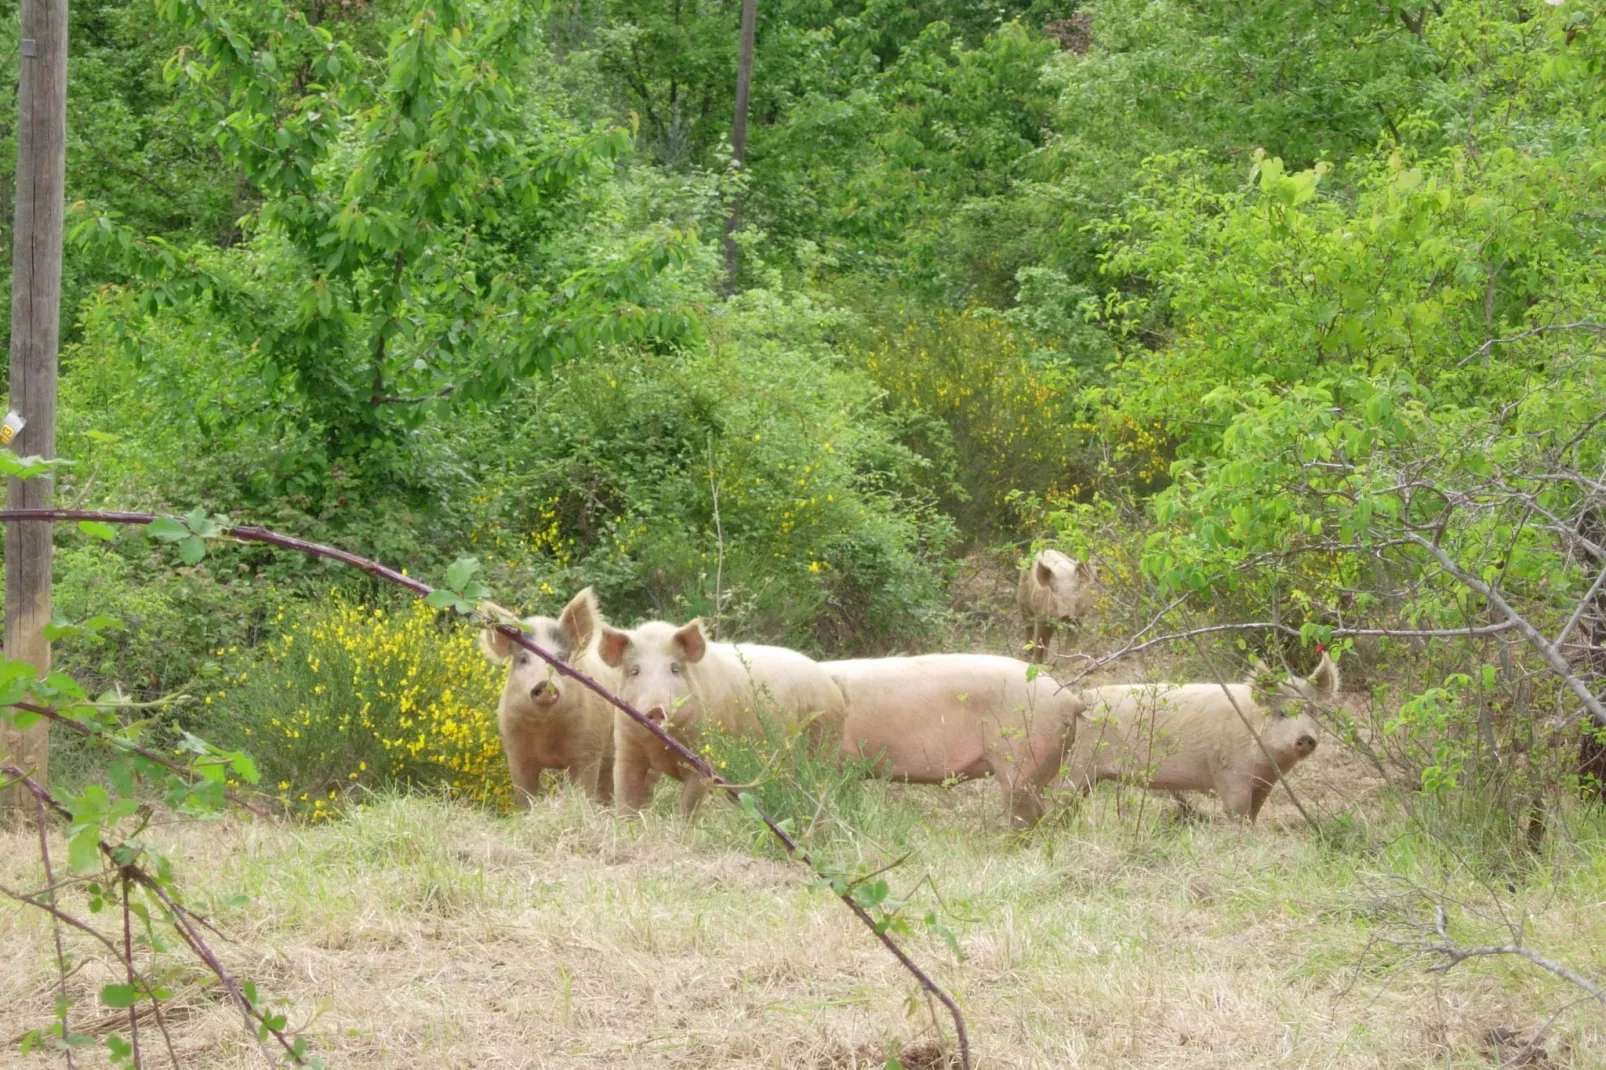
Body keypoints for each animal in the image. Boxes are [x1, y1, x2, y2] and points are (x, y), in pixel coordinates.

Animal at [475, 588, 613, 803]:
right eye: (523, 659)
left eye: (560, 658)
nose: (544, 684)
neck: (546, 729)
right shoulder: (515, 752)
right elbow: (524, 795)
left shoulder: (590, 749)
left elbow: (585, 788)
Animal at [597, 613, 847, 812]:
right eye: (634, 671)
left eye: (675, 668)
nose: (656, 708)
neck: (661, 749)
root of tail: (831, 684)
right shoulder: (627, 748)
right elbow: (625, 796)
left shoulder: (703, 759)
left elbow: (689, 807)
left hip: (825, 741)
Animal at [1059, 649, 1336, 816]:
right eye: (1281, 713)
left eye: (1313, 711)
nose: (1306, 738)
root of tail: (1078, 700)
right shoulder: (1230, 775)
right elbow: (1237, 813)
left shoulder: (1264, 784)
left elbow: (1254, 814)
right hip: (1075, 765)